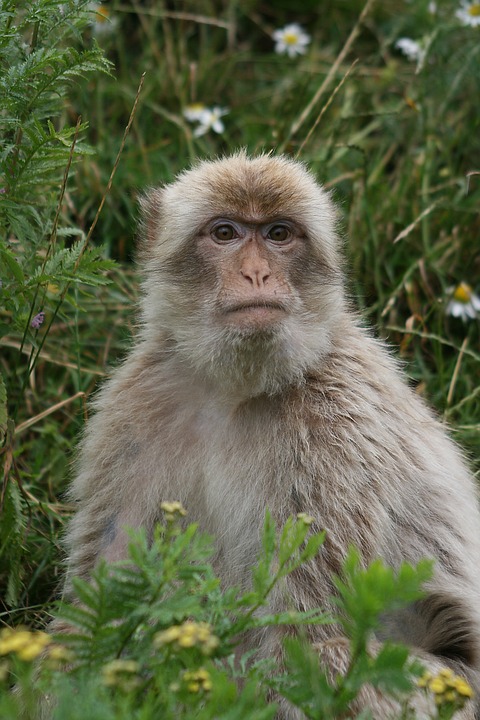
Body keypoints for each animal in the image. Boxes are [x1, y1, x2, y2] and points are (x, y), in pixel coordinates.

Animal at [61, 152, 480, 719]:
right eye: (225, 233)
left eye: (279, 234)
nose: (257, 272)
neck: (235, 393)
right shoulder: (133, 411)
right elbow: (98, 597)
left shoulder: (335, 434)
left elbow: (305, 629)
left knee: (329, 657)